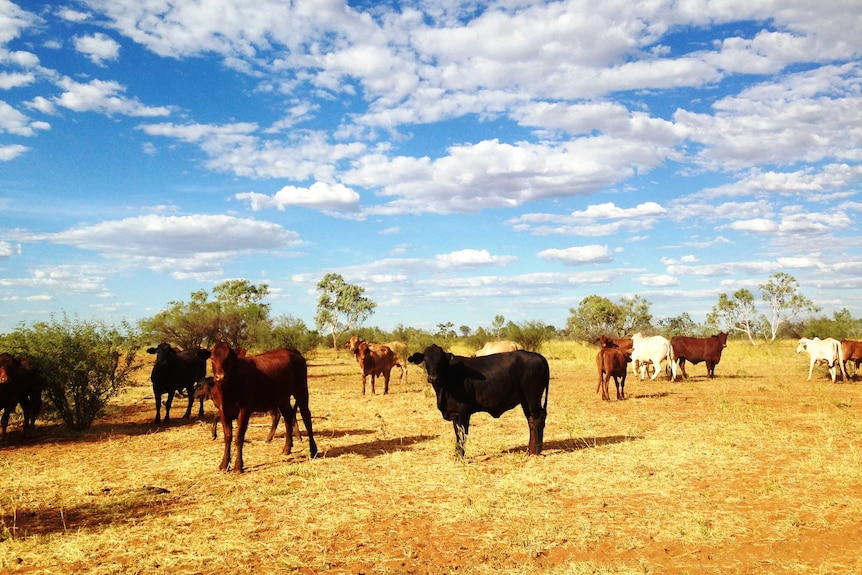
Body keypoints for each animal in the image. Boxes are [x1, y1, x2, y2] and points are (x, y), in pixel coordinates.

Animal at [197, 344, 318, 474]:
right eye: (212, 358)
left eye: (229, 358)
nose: (220, 377)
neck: (228, 389)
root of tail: (293, 352)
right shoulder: (223, 410)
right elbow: (228, 437)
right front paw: (224, 465)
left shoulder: (244, 410)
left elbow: (239, 437)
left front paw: (238, 467)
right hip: (283, 398)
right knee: (288, 418)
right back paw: (287, 448)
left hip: (301, 391)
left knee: (306, 416)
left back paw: (313, 450)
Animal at [406, 344, 552, 456]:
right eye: (426, 360)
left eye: (441, 361)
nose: (433, 378)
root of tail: (539, 357)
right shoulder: (454, 414)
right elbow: (457, 434)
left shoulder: (463, 413)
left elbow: (462, 435)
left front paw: (460, 456)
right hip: (525, 400)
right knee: (531, 420)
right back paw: (530, 450)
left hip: (533, 397)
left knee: (538, 418)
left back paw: (537, 450)